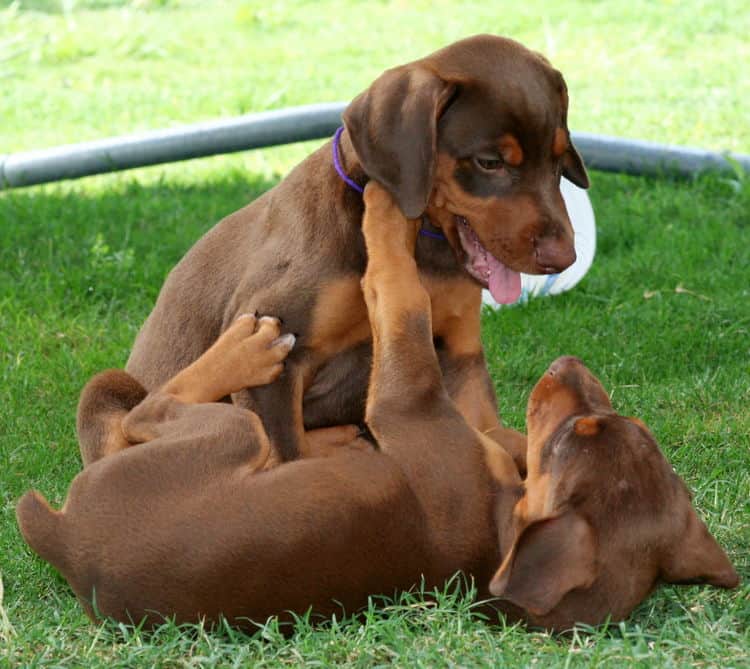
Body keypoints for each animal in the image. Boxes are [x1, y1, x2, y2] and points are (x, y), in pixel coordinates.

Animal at [17, 184, 740, 632]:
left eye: (576, 433)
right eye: (623, 424)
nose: (567, 364)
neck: (499, 531)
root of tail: (66, 542)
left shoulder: (406, 399)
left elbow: (402, 299)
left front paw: (387, 218)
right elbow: (490, 420)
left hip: (225, 435)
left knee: (147, 412)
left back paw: (246, 352)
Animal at [126, 34, 592, 468]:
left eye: (558, 159)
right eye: (489, 162)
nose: (564, 258)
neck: (423, 250)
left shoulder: (460, 358)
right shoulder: (275, 360)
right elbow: (289, 457)